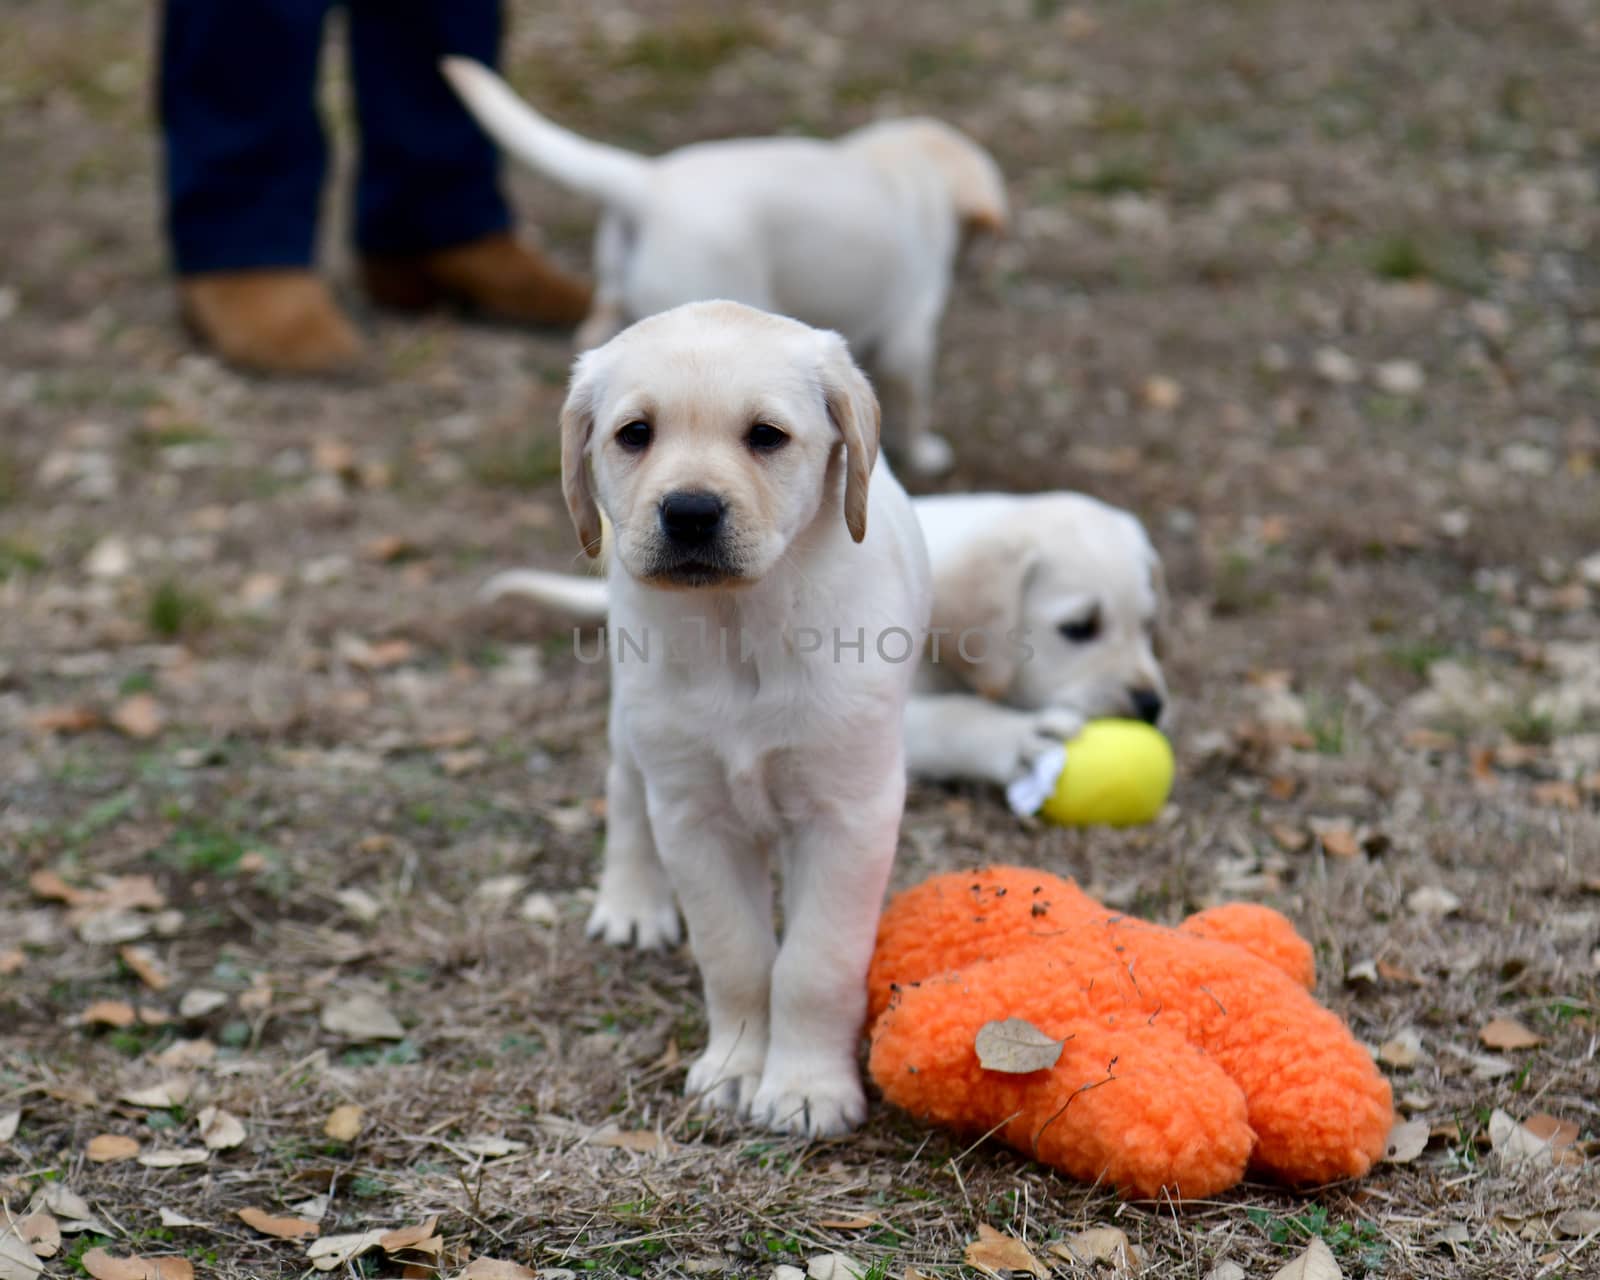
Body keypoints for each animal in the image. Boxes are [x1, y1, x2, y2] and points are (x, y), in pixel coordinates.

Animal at [444, 55, 1004, 473]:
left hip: (615, 298)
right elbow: (912, 400)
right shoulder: (911, 335)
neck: (907, 169)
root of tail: (648, 183)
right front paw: (925, 453)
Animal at [547, 300, 928, 1139]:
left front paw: (806, 1087)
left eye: (766, 436)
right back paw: (631, 903)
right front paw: (735, 1069)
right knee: (624, 790)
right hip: (634, 716)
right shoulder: (693, 814)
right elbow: (737, 954)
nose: (690, 512)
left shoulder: (849, 814)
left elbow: (815, 962)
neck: (739, 626)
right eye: (635, 434)